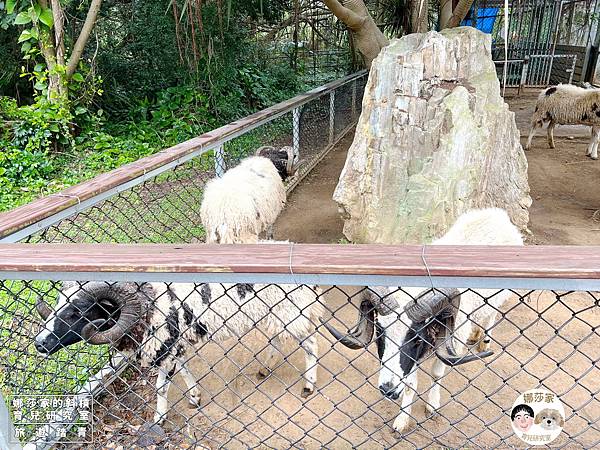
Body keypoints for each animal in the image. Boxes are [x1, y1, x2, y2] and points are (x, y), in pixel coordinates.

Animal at [32, 282, 324, 426]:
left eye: (76, 313)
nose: (39, 344)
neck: (148, 308)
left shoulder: (166, 345)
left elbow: (162, 386)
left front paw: (159, 418)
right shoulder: (174, 345)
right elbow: (183, 368)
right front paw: (195, 397)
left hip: (292, 314)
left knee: (311, 345)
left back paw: (309, 385)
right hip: (276, 315)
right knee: (277, 339)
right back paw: (265, 368)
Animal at [322, 207, 524, 432]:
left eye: (417, 338)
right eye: (380, 334)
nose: (387, 389)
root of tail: (494, 213)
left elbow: (437, 373)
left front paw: (432, 405)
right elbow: (410, 384)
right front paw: (402, 419)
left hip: (498, 297)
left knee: (491, 315)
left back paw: (484, 340)